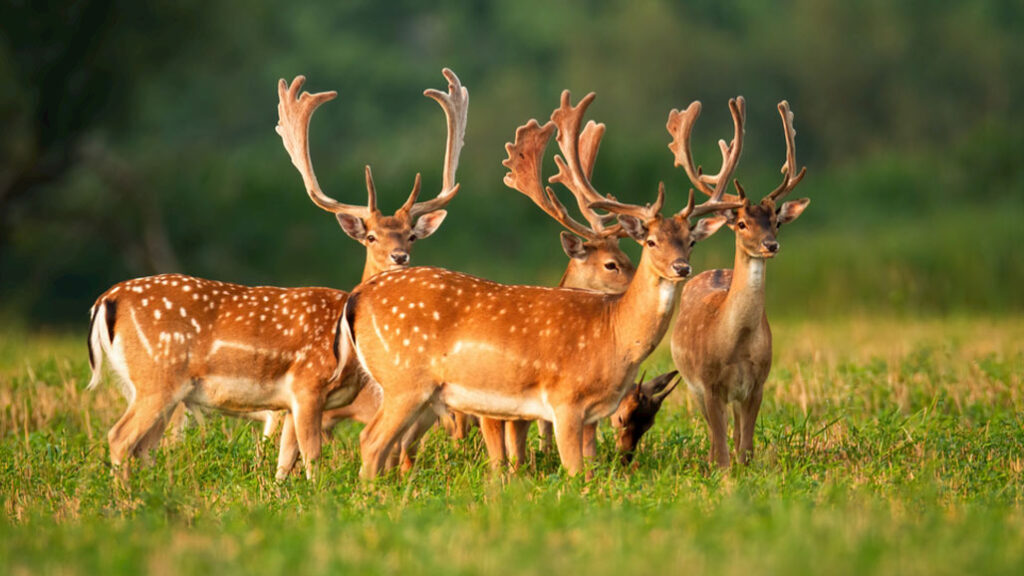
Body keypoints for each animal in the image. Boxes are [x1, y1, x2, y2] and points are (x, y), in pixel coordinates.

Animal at [86, 69, 466, 479]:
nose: (399, 256)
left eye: (411, 235)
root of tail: (106, 299)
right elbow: (313, 456)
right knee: (120, 437)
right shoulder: (307, 384)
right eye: (370, 236)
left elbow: (285, 461)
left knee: (144, 447)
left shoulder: (288, 404)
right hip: (157, 378)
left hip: (154, 388)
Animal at [343, 92, 744, 479]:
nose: (681, 267)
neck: (613, 336)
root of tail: (358, 297)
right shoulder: (565, 400)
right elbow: (575, 472)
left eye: (690, 241)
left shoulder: (587, 414)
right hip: (404, 378)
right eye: (650, 241)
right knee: (370, 441)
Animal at [668, 97, 808, 468]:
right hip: (692, 385)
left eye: (776, 221)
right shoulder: (707, 383)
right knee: (713, 432)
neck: (736, 343)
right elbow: (721, 449)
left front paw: (745, 467)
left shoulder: (758, 382)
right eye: (743, 223)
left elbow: (745, 446)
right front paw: (721, 470)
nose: (770, 245)